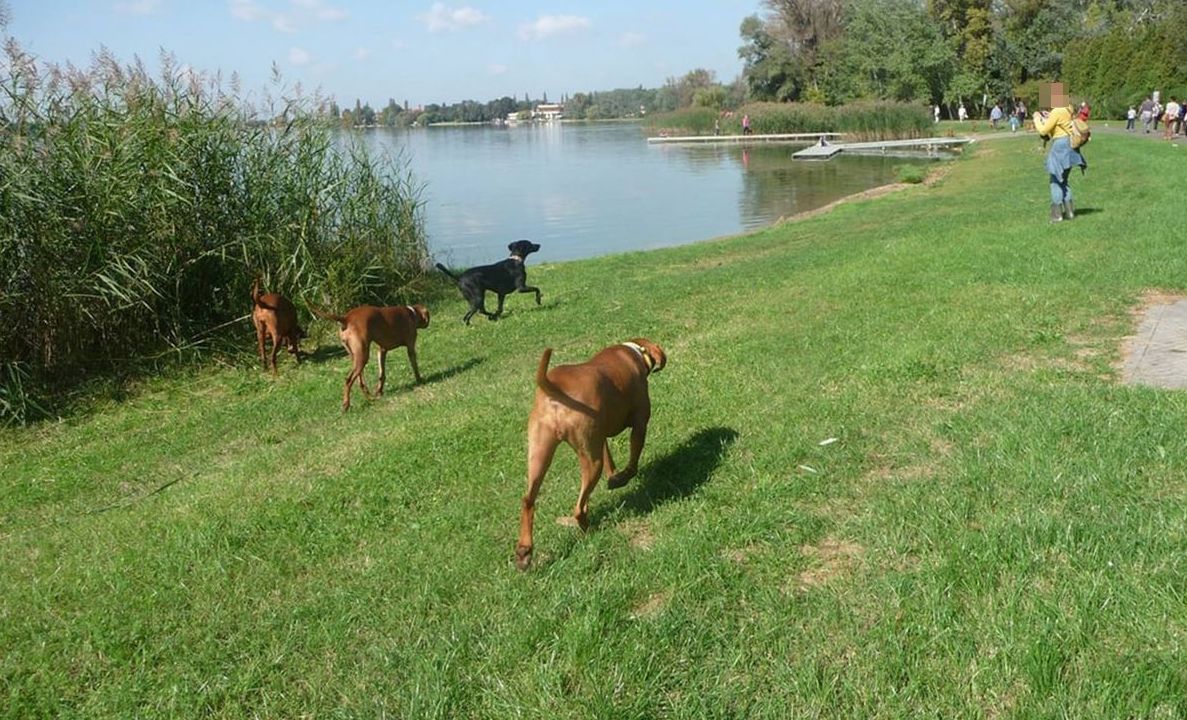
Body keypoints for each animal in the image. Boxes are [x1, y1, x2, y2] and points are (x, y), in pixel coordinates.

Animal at [517, 341, 669, 571]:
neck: (634, 351)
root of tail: (556, 389)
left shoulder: (601, 438)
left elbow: (610, 460)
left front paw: (614, 475)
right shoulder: (640, 425)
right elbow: (632, 463)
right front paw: (621, 478)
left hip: (540, 454)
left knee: (528, 500)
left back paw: (524, 551)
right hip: (591, 462)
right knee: (579, 508)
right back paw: (589, 529)